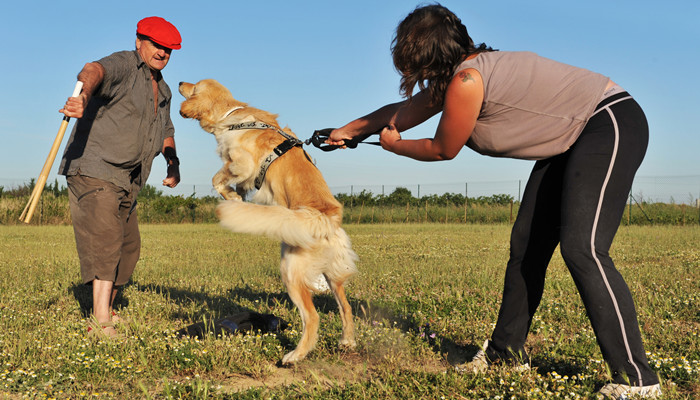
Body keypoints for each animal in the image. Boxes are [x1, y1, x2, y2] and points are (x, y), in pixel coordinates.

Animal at [178, 79, 358, 364]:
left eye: (193, 86)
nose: (179, 82)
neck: (232, 116)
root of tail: (328, 217)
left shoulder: (241, 163)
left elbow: (217, 178)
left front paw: (231, 197)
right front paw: (238, 195)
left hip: (291, 270)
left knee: (312, 317)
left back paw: (295, 355)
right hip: (332, 277)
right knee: (346, 307)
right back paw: (346, 341)